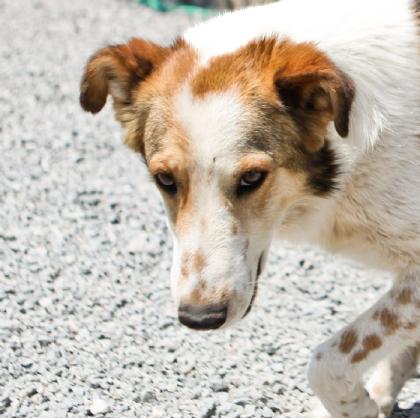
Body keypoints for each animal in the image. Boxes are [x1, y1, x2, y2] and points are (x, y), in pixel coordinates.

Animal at [80, 0, 418, 414]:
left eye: (252, 177)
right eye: (165, 180)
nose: (199, 318)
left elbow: (326, 361)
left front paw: (358, 407)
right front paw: (373, 398)